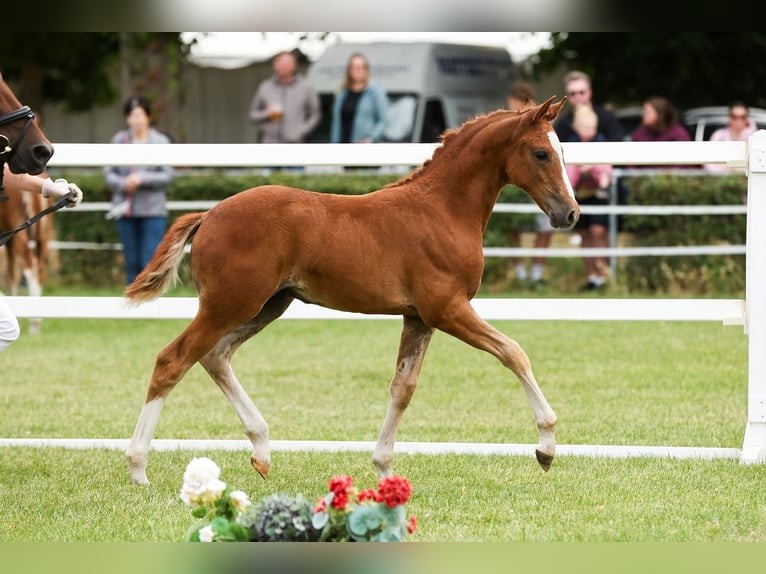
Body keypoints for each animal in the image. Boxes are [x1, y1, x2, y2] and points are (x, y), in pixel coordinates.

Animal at [123, 96, 579, 486]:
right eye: (541, 153)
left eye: (561, 152)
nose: (570, 214)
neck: (442, 210)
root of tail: (209, 214)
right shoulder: (447, 309)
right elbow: (513, 353)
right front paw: (546, 447)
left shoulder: (418, 317)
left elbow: (403, 388)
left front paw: (383, 468)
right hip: (229, 304)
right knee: (173, 360)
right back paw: (139, 468)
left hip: (268, 304)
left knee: (215, 356)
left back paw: (262, 451)